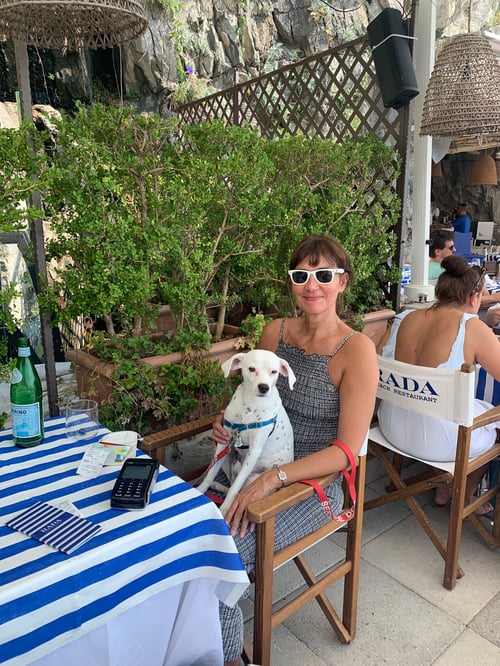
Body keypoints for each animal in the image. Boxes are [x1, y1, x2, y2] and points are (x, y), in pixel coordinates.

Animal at [195, 350, 294, 516]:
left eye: (274, 372)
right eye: (251, 369)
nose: (264, 387)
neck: (251, 406)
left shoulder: (254, 450)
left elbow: (235, 489)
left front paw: (226, 508)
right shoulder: (224, 442)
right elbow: (210, 473)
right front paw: (200, 491)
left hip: (252, 479)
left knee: (239, 488)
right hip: (227, 457)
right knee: (231, 481)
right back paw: (217, 486)